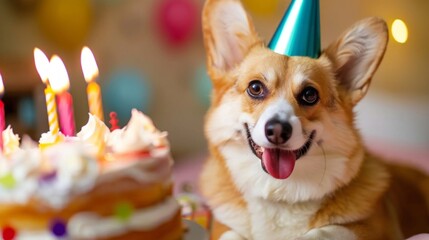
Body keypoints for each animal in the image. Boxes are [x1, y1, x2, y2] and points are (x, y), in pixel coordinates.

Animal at [200, 0, 428, 238]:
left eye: (310, 95)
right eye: (255, 88)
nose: (278, 130)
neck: (281, 193)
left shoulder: (372, 230)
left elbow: (324, 231)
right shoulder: (222, 226)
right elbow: (231, 234)